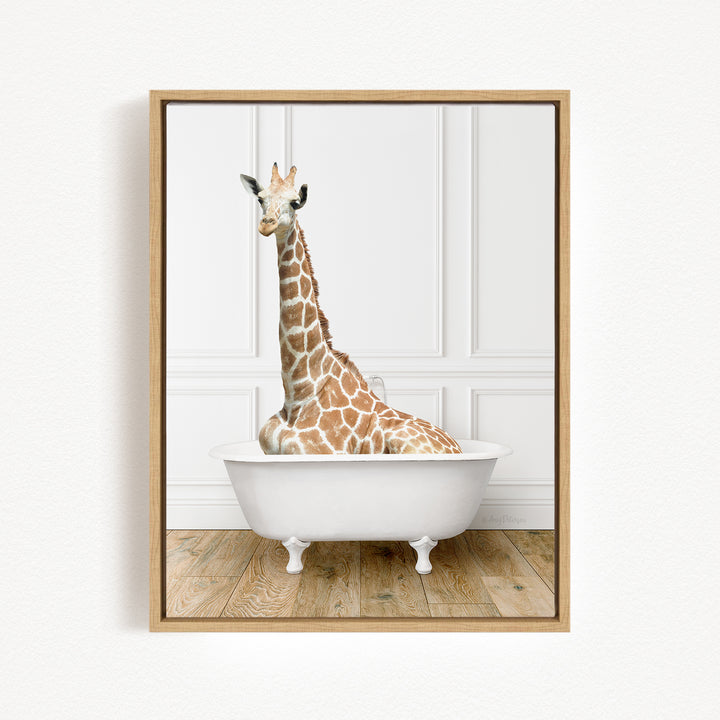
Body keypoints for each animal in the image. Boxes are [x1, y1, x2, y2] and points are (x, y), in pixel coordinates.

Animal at [240, 163, 462, 456]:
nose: (267, 225)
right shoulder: (268, 451)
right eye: (261, 199)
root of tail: (458, 447)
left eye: (295, 202)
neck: (298, 391)